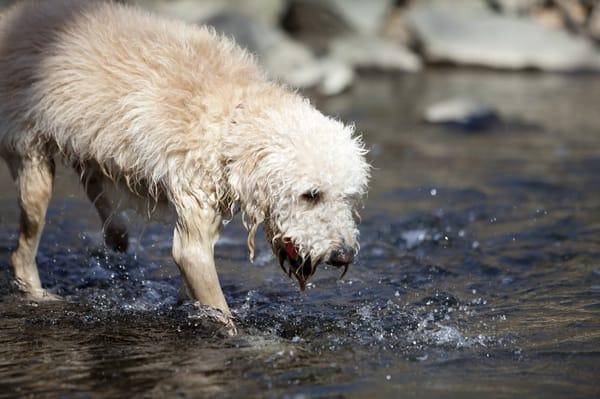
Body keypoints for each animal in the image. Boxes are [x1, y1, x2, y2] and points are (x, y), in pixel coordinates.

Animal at [0, 0, 370, 332]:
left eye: (347, 197)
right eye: (311, 194)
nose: (343, 255)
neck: (230, 120)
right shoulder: (194, 215)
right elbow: (216, 304)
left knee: (93, 181)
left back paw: (117, 234)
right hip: (32, 159)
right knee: (22, 251)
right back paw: (39, 294)